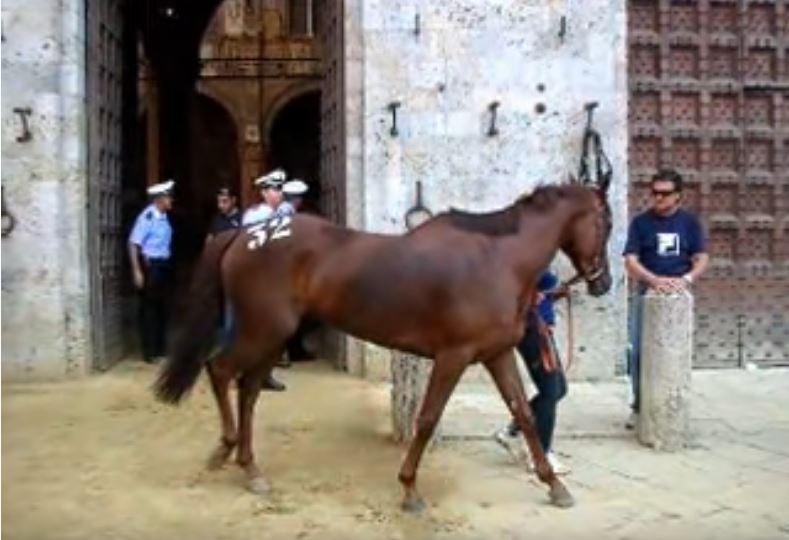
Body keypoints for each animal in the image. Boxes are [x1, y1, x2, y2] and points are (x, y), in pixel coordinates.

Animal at [155, 178, 613, 511]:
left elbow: (525, 413)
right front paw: (409, 489)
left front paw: (554, 485)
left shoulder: (496, 354)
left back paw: (250, 468)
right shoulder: (454, 356)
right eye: (606, 222)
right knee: (220, 371)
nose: (603, 282)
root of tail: (247, 234)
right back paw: (226, 450)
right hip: (262, 330)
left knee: (248, 390)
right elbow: (427, 418)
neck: (495, 259)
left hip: (273, 336)